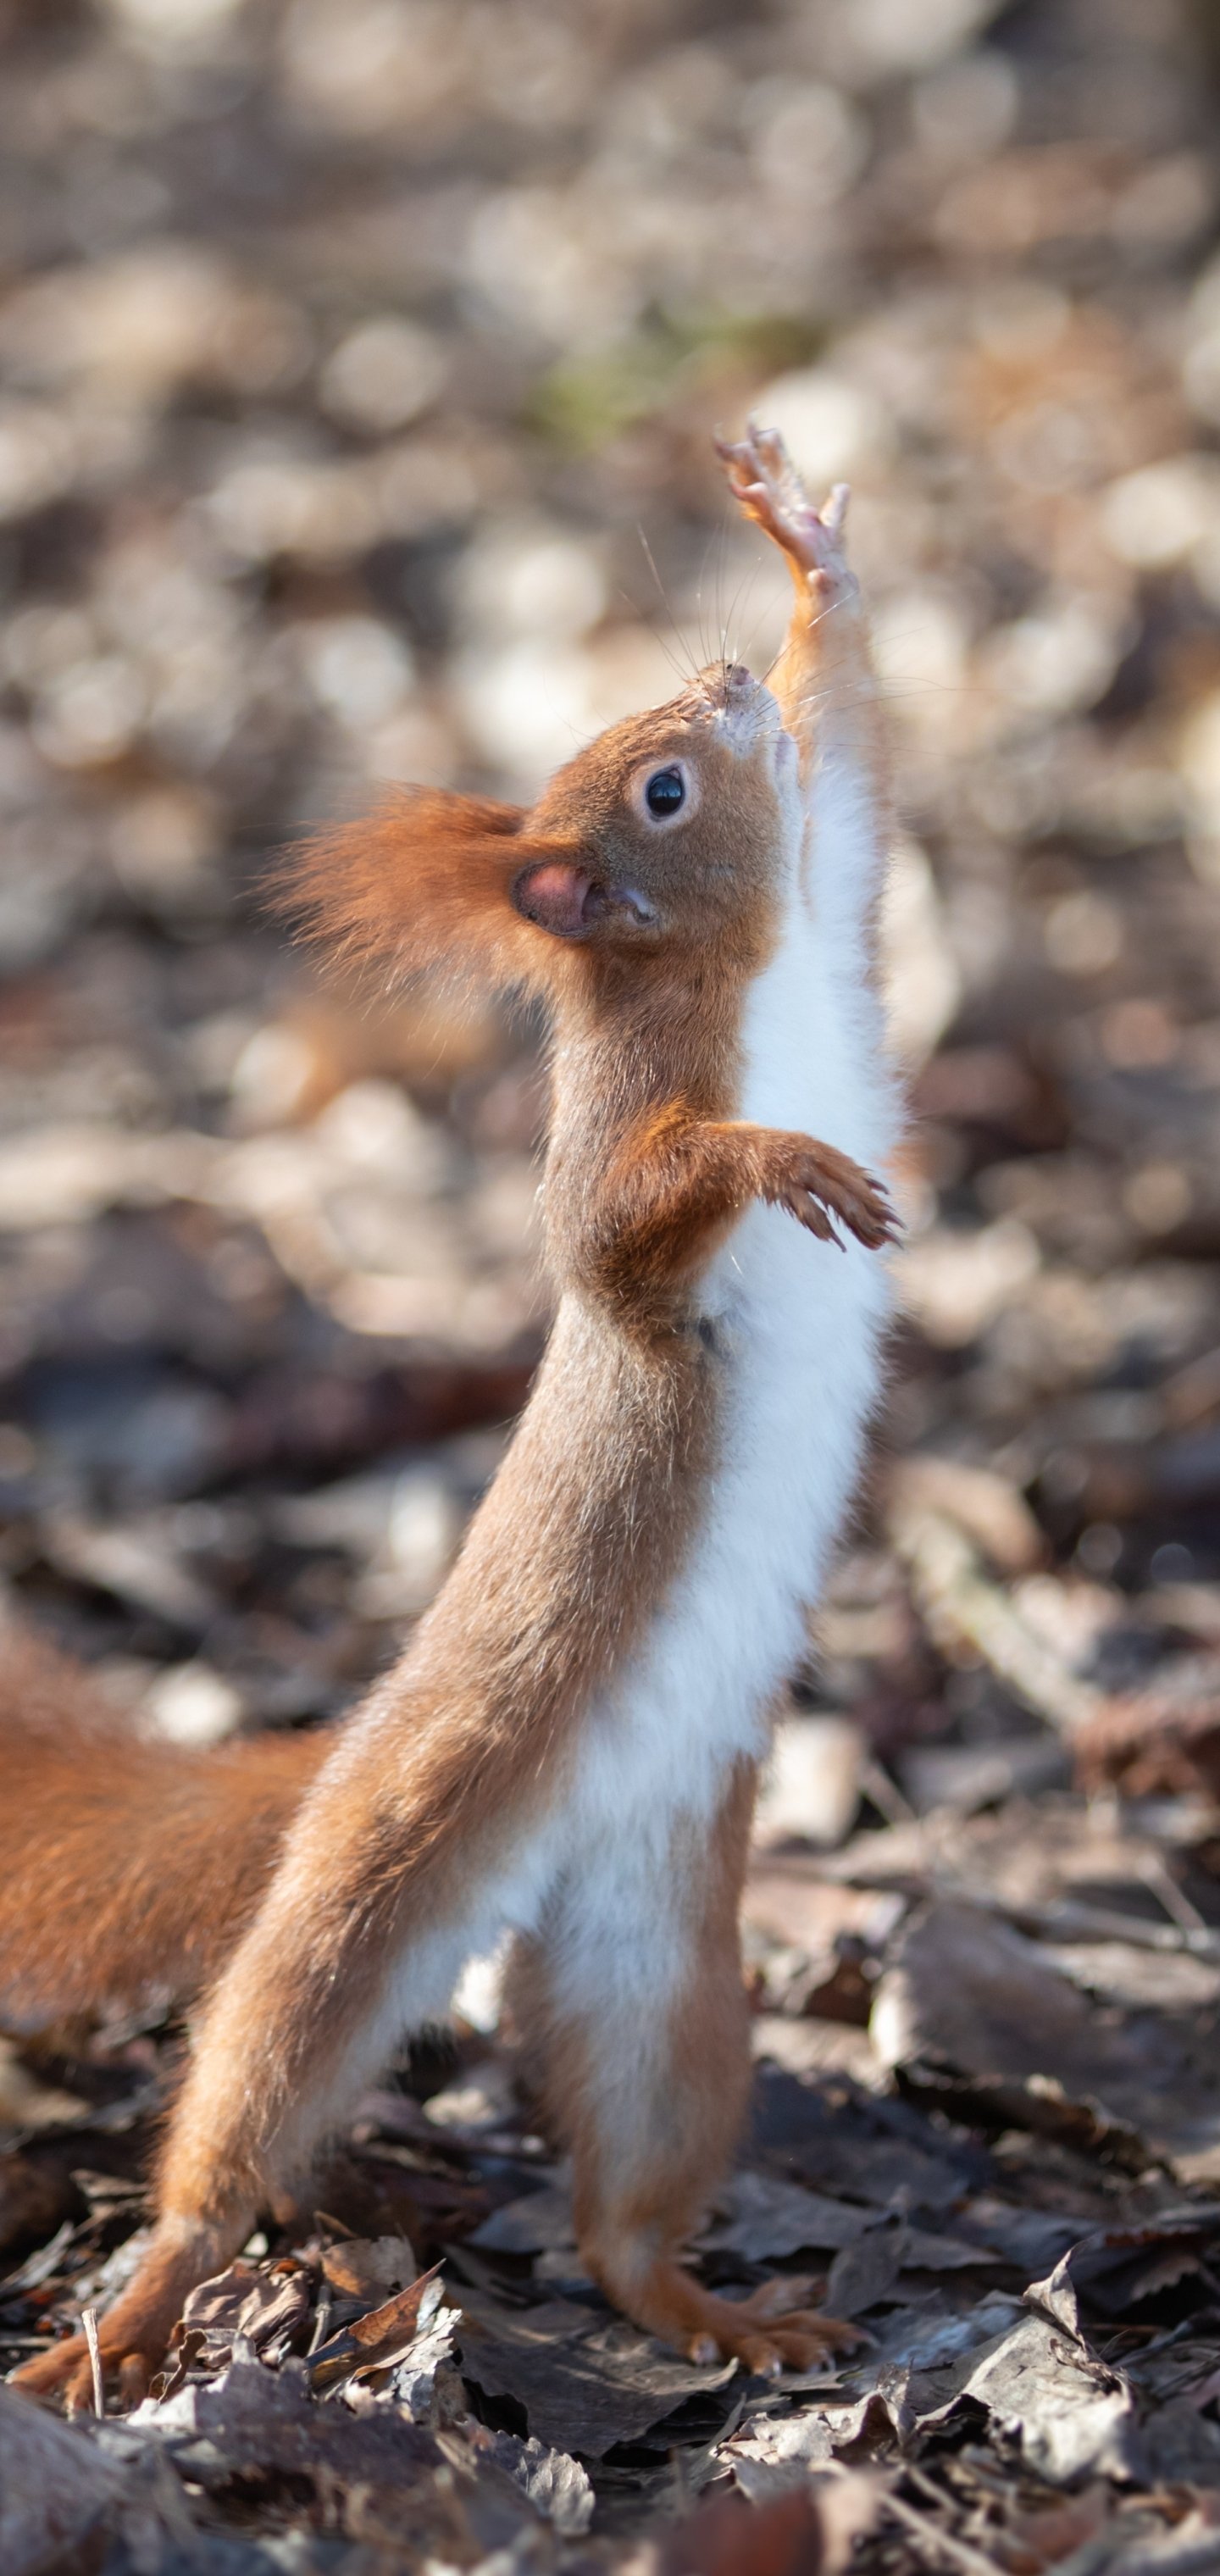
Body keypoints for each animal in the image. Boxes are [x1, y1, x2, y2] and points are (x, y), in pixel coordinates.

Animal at [5, 425, 898, 2410]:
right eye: (660, 788)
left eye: (676, 740)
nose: (723, 682)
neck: (739, 977)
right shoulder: (624, 1146)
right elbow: (624, 1222)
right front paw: (775, 1156)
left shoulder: (840, 900)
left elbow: (855, 764)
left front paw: (807, 559)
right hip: (370, 1883)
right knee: (247, 2095)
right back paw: (130, 2310)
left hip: (664, 1964)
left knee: (624, 2201)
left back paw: (713, 2307)